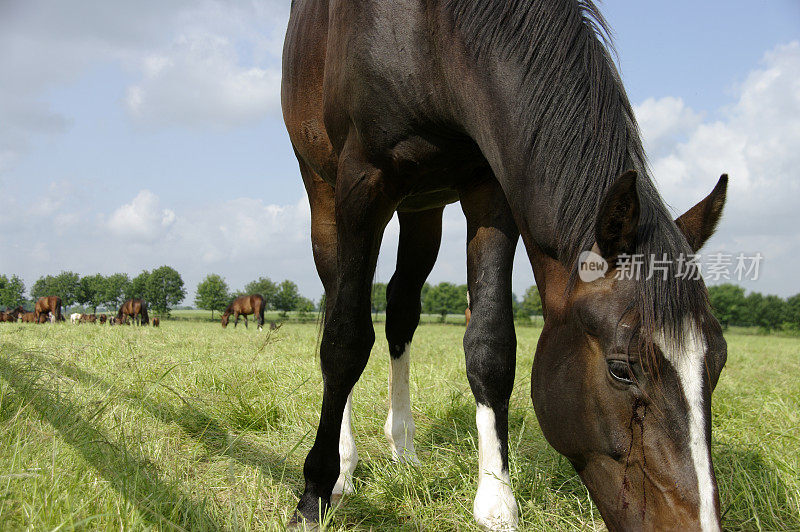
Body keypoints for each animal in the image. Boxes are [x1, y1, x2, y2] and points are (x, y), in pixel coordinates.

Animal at [282, 2, 732, 528]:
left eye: (718, 361)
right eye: (622, 370)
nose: (699, 524)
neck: (431, 32)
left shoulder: (489, 189)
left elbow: (490, 345)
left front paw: (496, 500)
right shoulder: (362, 180)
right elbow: (345, 340)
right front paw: (314, 491)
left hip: (422, 206)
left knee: (401, 308)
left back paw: (404, 449)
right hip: (323, 190)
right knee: (339, 302)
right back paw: (345, 466)